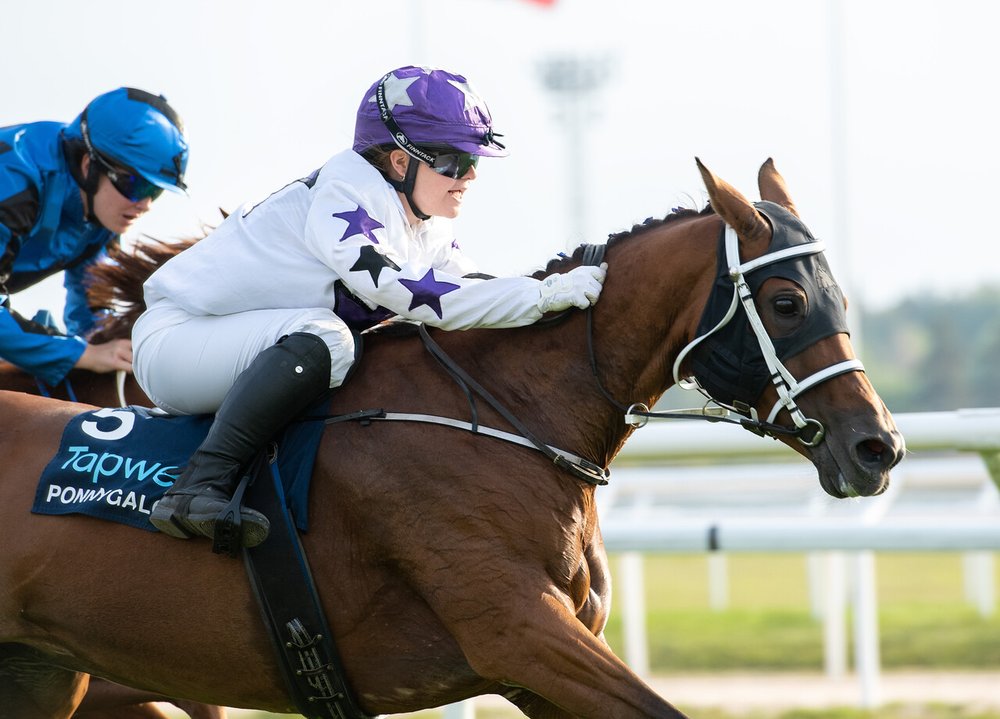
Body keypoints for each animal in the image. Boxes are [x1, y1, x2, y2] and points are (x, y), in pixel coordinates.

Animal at [0, 159, 908, 719]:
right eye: (788, 301)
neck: (504, 417)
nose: (879, 448)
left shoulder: (538, 665)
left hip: (43, 674)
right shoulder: (518, 632)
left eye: (838, 294)